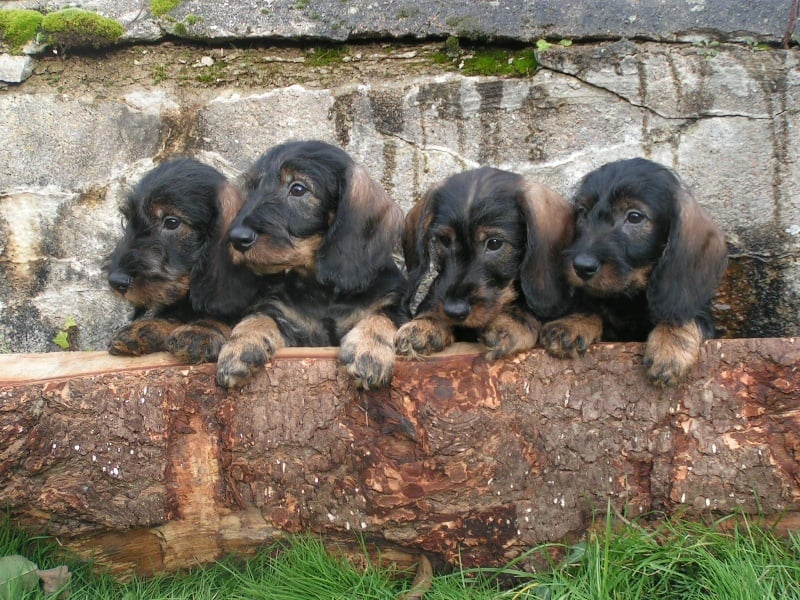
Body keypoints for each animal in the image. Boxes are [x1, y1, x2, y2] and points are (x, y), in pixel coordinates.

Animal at [106, 157, 260, 364]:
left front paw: (202, 329)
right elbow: (172, 316)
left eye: (172, 222)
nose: (116, 281)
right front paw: (147, 326)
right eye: (126, 220)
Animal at [214, 139, 406, 390]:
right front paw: (239, 346)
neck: (323, 289)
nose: (237, 238)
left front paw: (369, 352)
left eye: (298, 189)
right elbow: (257, 318)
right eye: (253, 188)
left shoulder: (394, 306)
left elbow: (380, 318)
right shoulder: (286, 319)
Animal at [540, 157, 728, 386]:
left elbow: (684, 316)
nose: (582, 266)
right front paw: (573, 322)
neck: (630, 298)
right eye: (583, 212)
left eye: (635, 217)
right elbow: (595, 307)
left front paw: (670, 346)